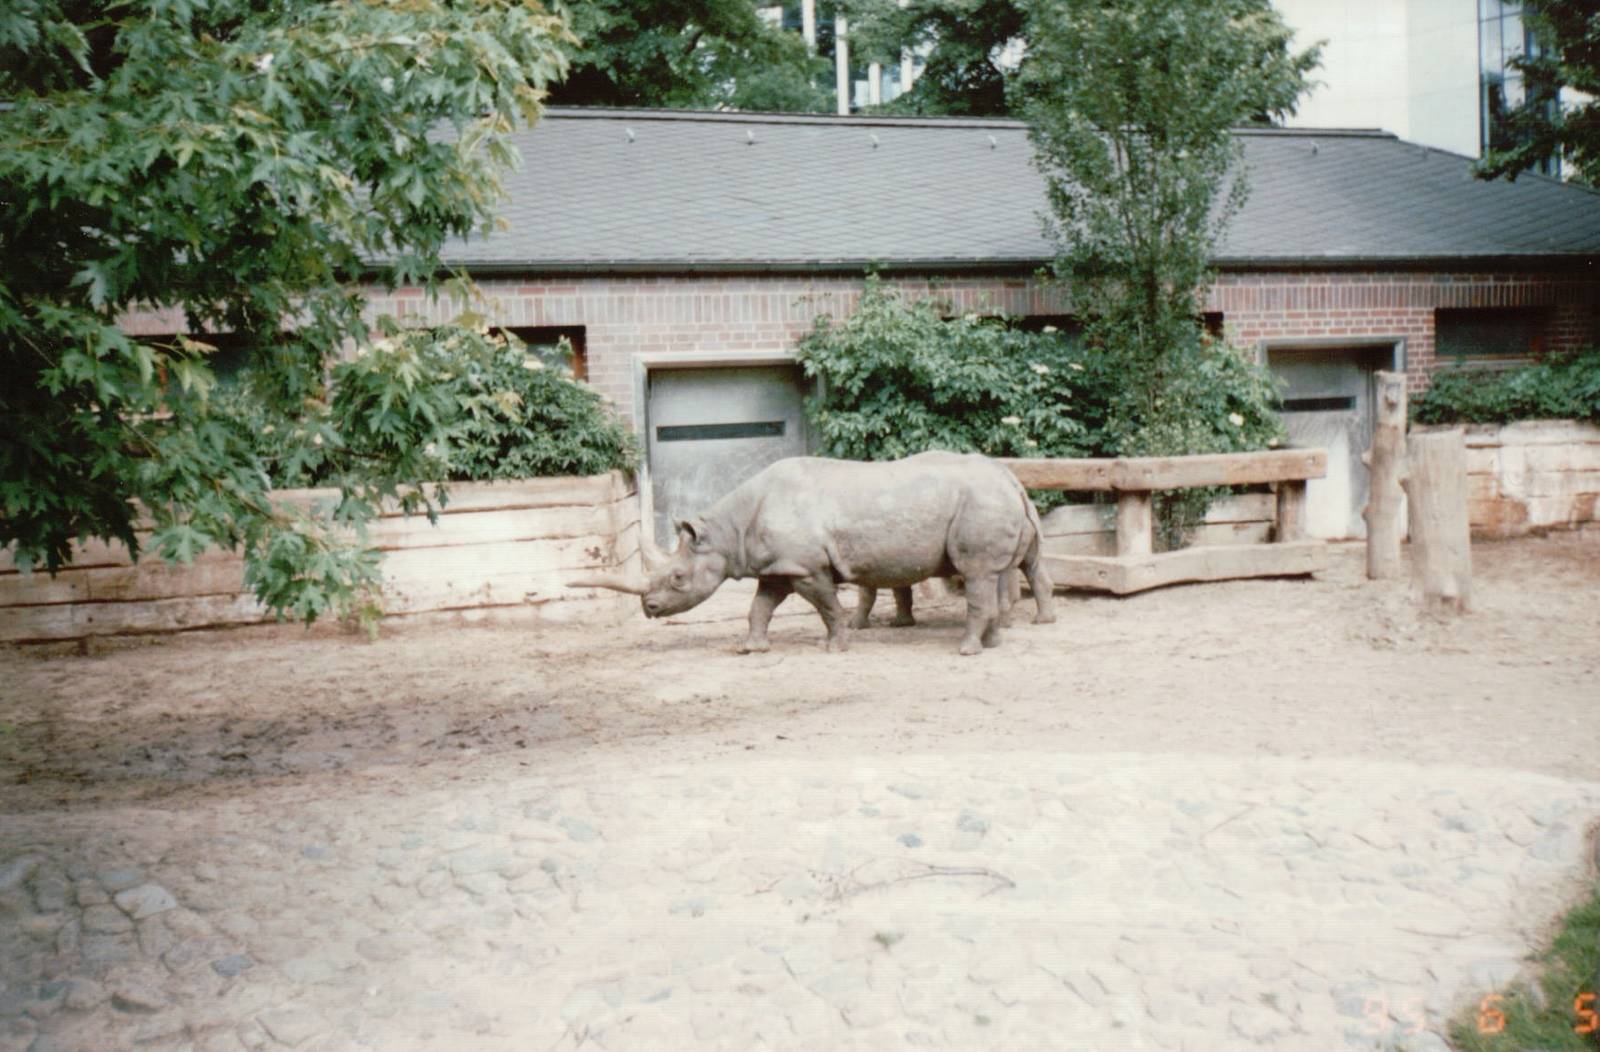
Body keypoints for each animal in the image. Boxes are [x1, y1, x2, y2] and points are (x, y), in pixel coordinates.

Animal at [569, 451, 1055, 655]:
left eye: (677, 579)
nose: (648, 609)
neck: (727, 532)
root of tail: (1011, 478)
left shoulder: (804, 567)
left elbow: (827, 607)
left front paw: (835, 647)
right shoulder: (777, 568)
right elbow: (759, 607)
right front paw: (751, 649)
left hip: (980, 501)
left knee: (976, 574)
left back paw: (966, 651)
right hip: (986, 500)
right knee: (987, 575)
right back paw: (992, 645)